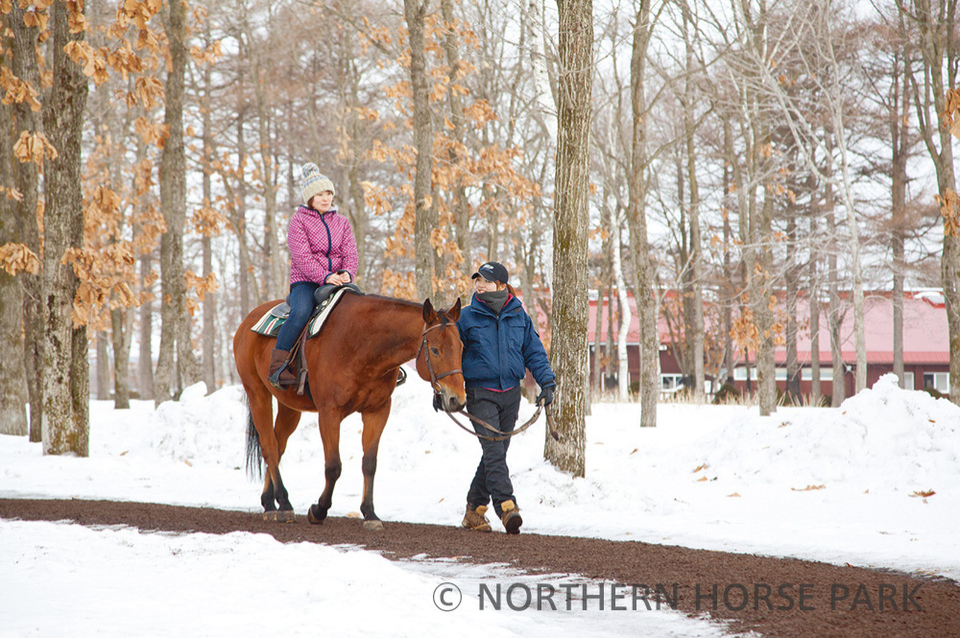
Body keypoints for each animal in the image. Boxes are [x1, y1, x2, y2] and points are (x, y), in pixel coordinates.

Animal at [233, 293, 465, 530]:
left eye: (462, 347)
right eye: (435, 349)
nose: (457, 399)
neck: (364, 345)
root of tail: (248, 321)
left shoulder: (377, 411)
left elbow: (369, 464)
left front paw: (370, 513)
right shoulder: (329, 413)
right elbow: (333, 466)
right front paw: (319, 510)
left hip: (289, 406)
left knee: (278, 446)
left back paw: (270, 503)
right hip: (257, 393)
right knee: (269, 446)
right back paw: (284, 503)